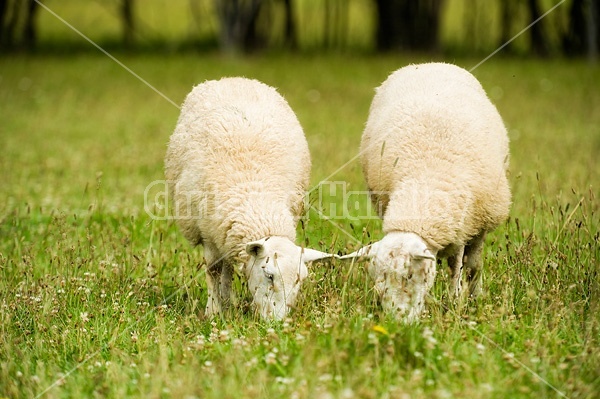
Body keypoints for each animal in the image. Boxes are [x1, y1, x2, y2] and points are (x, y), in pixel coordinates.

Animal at [166, 77, 336, 322]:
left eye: (299, 281)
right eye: (270, 276)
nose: (278, 323)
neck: (255, 201)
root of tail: (234, 79)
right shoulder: (207, 231)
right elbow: (213, 270)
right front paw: (213, 311)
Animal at [342, 62, 510, 324]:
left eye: (410, 276)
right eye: (378, 282)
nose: (397, 323)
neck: (425, 184)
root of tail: (429, 64)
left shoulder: (466, 226)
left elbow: (460, 266)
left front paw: (456, 301)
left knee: (473, 264)